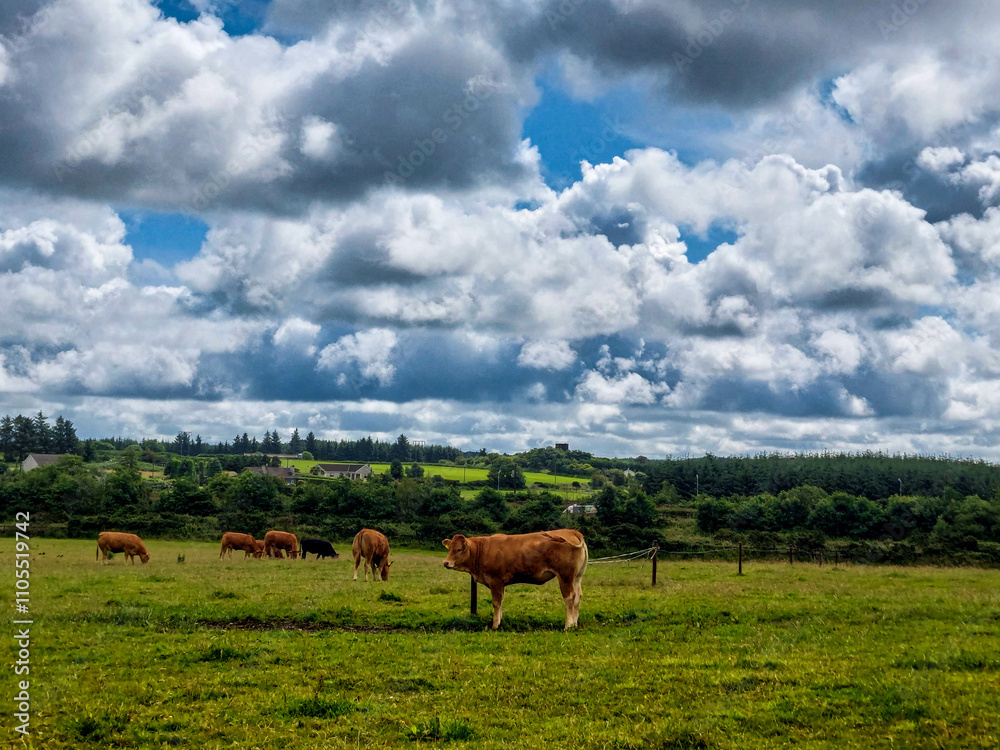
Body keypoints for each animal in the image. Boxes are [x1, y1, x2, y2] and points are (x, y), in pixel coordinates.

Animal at [442, 529, 588, 630]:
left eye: (459, 549)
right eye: (450, 549)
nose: (446, 562)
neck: (482, 550)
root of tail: (572, 531)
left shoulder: (495, 581)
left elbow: (496, 603)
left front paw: (495, 625)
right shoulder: (501, 584)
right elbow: (500, 602)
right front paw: (500, 621)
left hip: (565, 577)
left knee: (570, 598)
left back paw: (568, 626)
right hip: (576, 577)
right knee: (577, 597)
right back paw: (575, 624)